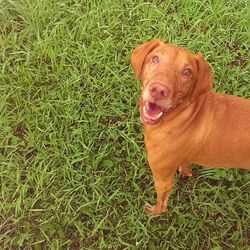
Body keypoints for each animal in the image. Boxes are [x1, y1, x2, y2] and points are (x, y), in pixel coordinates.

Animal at [131, 39, 250, 217]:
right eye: (155, 59)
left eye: (187, 72)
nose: (158, 90)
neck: (183, 114)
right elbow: (185, 166)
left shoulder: (163, 179)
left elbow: (161, 205)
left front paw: (154, 213)